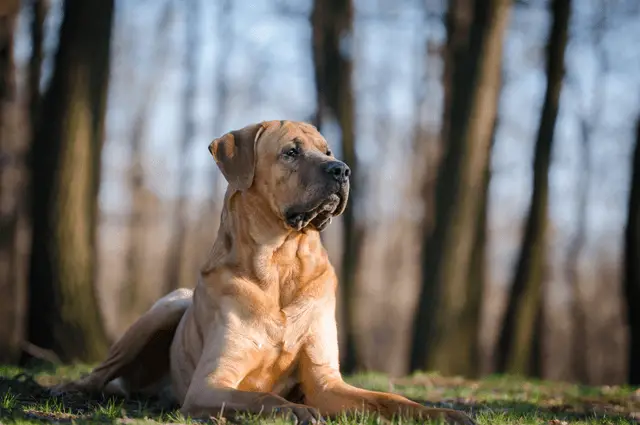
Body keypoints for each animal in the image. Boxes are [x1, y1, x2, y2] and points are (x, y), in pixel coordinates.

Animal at [55, 120, 476, 424]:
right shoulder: (210, 384)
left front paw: (441, 412)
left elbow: (388, 398)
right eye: (291, 152)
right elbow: (261, 395)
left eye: (327, 151)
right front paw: (294, 410)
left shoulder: (325, 380)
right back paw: (71, 390)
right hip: (166, 307)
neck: (281, 263)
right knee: (101, 370)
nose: (342, 170)